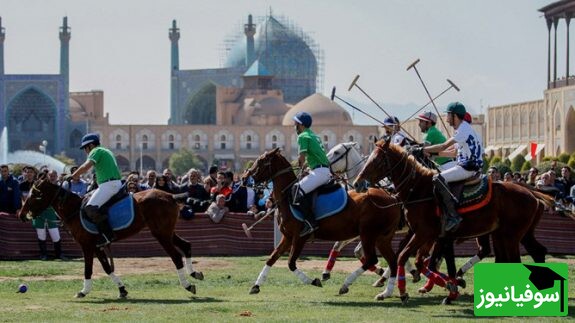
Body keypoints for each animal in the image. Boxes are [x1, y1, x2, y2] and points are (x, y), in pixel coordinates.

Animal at [18, 178, 205, 300]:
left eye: (35, 195)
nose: (21, 215)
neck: (74, 210)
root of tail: (171, 196)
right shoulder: (98, 246)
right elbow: (107, 268)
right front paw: (122, 289)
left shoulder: (87, 246)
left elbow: (88, 269)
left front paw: (83, 291)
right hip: (166, 232)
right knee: (186, 246)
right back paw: (195, 273)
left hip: (161, 234)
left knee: (176, 256)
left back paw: (188, 285)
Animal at [243, 148, 404, 300]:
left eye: (261, 161)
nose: (245, 178)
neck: (287, 198)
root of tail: (393, 198)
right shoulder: (287, 237)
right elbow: (272, 258)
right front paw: (256, 286)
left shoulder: (300, 237)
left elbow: (291, 263)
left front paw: (314, 281)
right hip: (382, 237)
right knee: (392, 260)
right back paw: (387, 291)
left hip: (368, 233)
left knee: (372, 259)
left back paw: (347, 284)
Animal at [354, 139, 556, 304]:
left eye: (377, 160)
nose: (357, 183)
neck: (419, 189)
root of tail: (531, 193)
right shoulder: (434, 236)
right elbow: (426, 261)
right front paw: (450, 286)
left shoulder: (425, 233)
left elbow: (406, 257)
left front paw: (407, 291)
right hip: (506, 234)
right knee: (526, 254)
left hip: (511, 236)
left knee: (513, 259)